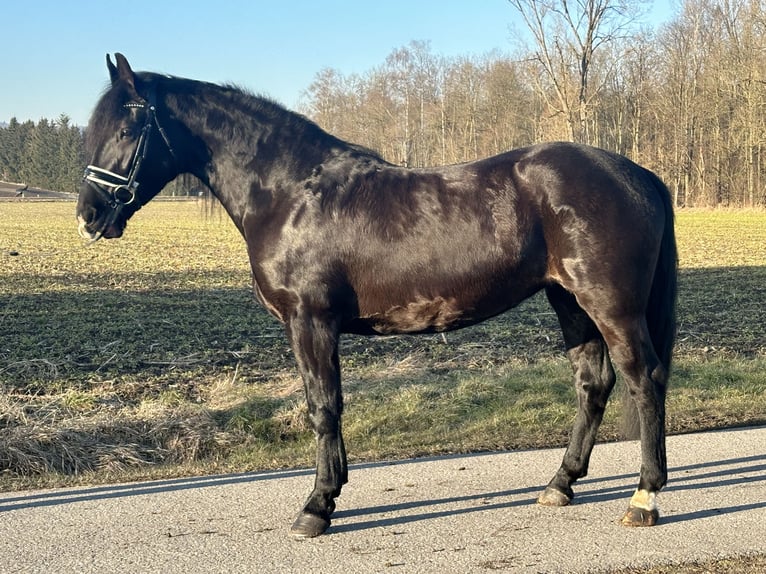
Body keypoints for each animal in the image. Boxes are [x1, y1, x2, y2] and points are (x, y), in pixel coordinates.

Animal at [76, 54, 680, 540]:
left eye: (128, 127)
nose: (89, 215)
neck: (291, 193)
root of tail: (640, 174)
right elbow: (328, 406)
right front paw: (329, 494)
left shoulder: (310, 321)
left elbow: (323, 406)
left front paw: (317, 507)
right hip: (569, 302)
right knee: (593, 384)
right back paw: (560, 484)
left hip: (610, 306)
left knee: (644, 379)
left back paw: (644, 497)